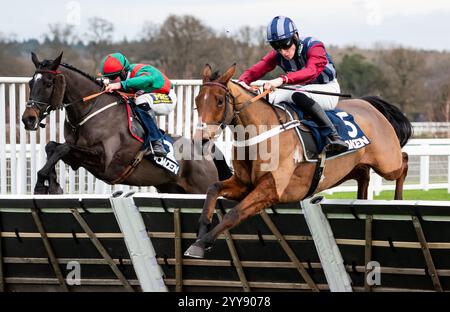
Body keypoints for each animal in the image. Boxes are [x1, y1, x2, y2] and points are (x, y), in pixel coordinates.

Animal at [20, 54, 232, 195]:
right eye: (31, 82)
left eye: (48, 83)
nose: (28, 118)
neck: (90, 110)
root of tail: (206, 152)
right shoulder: (77, 159)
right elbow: (52, 147)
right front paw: (51, 184)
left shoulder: (103, 159)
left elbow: (62, 148)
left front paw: (42, 183)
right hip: (172, 189)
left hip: (201, 188)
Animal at [183, 64, 412, 258]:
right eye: (197, 101)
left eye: (219, 101)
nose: (201, 138)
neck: (261, 133)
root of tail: (368, 104)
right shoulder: (243, 184)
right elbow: (213, 188)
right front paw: (201, 232)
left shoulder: (271, 189)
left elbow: (234, 214)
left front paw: (202, 243)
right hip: (350, 167)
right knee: (364, 174)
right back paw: (362, 198)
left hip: (387, 162)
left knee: (404, 162)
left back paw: (399, 199)